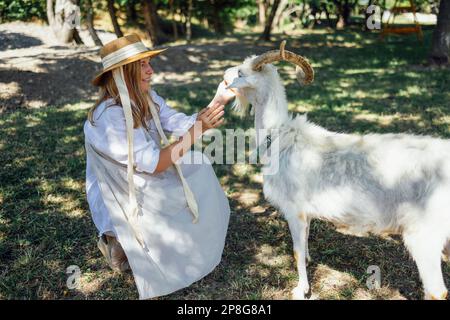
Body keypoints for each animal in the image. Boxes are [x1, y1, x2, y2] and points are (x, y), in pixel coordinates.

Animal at [224, 41, 450, 298]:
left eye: (241, 73)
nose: (224, 76)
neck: (280, 135)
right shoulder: (305, 214)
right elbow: (305, 242)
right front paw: (309, 262)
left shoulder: (294, 210)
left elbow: (296, 251)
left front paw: (301, 289)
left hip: (424, 235)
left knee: (436, 291)